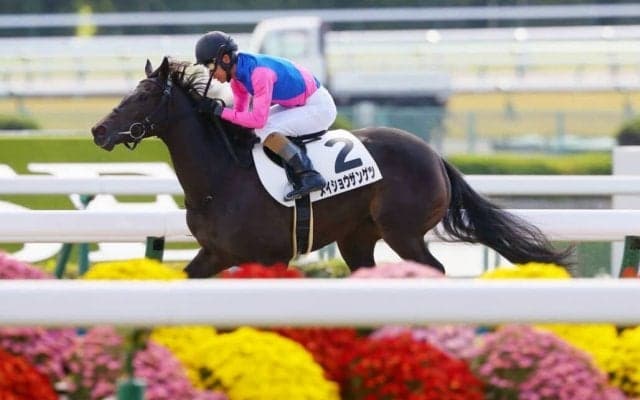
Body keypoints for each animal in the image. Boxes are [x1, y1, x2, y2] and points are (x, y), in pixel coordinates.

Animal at [90, 56, 572, 278]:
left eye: (142, 96)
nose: (97, 130)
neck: (221, 180)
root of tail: (435, 155)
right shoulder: (215, 253)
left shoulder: (269, 257)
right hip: (357, 237)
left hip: (402, 230)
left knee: (431, 269)